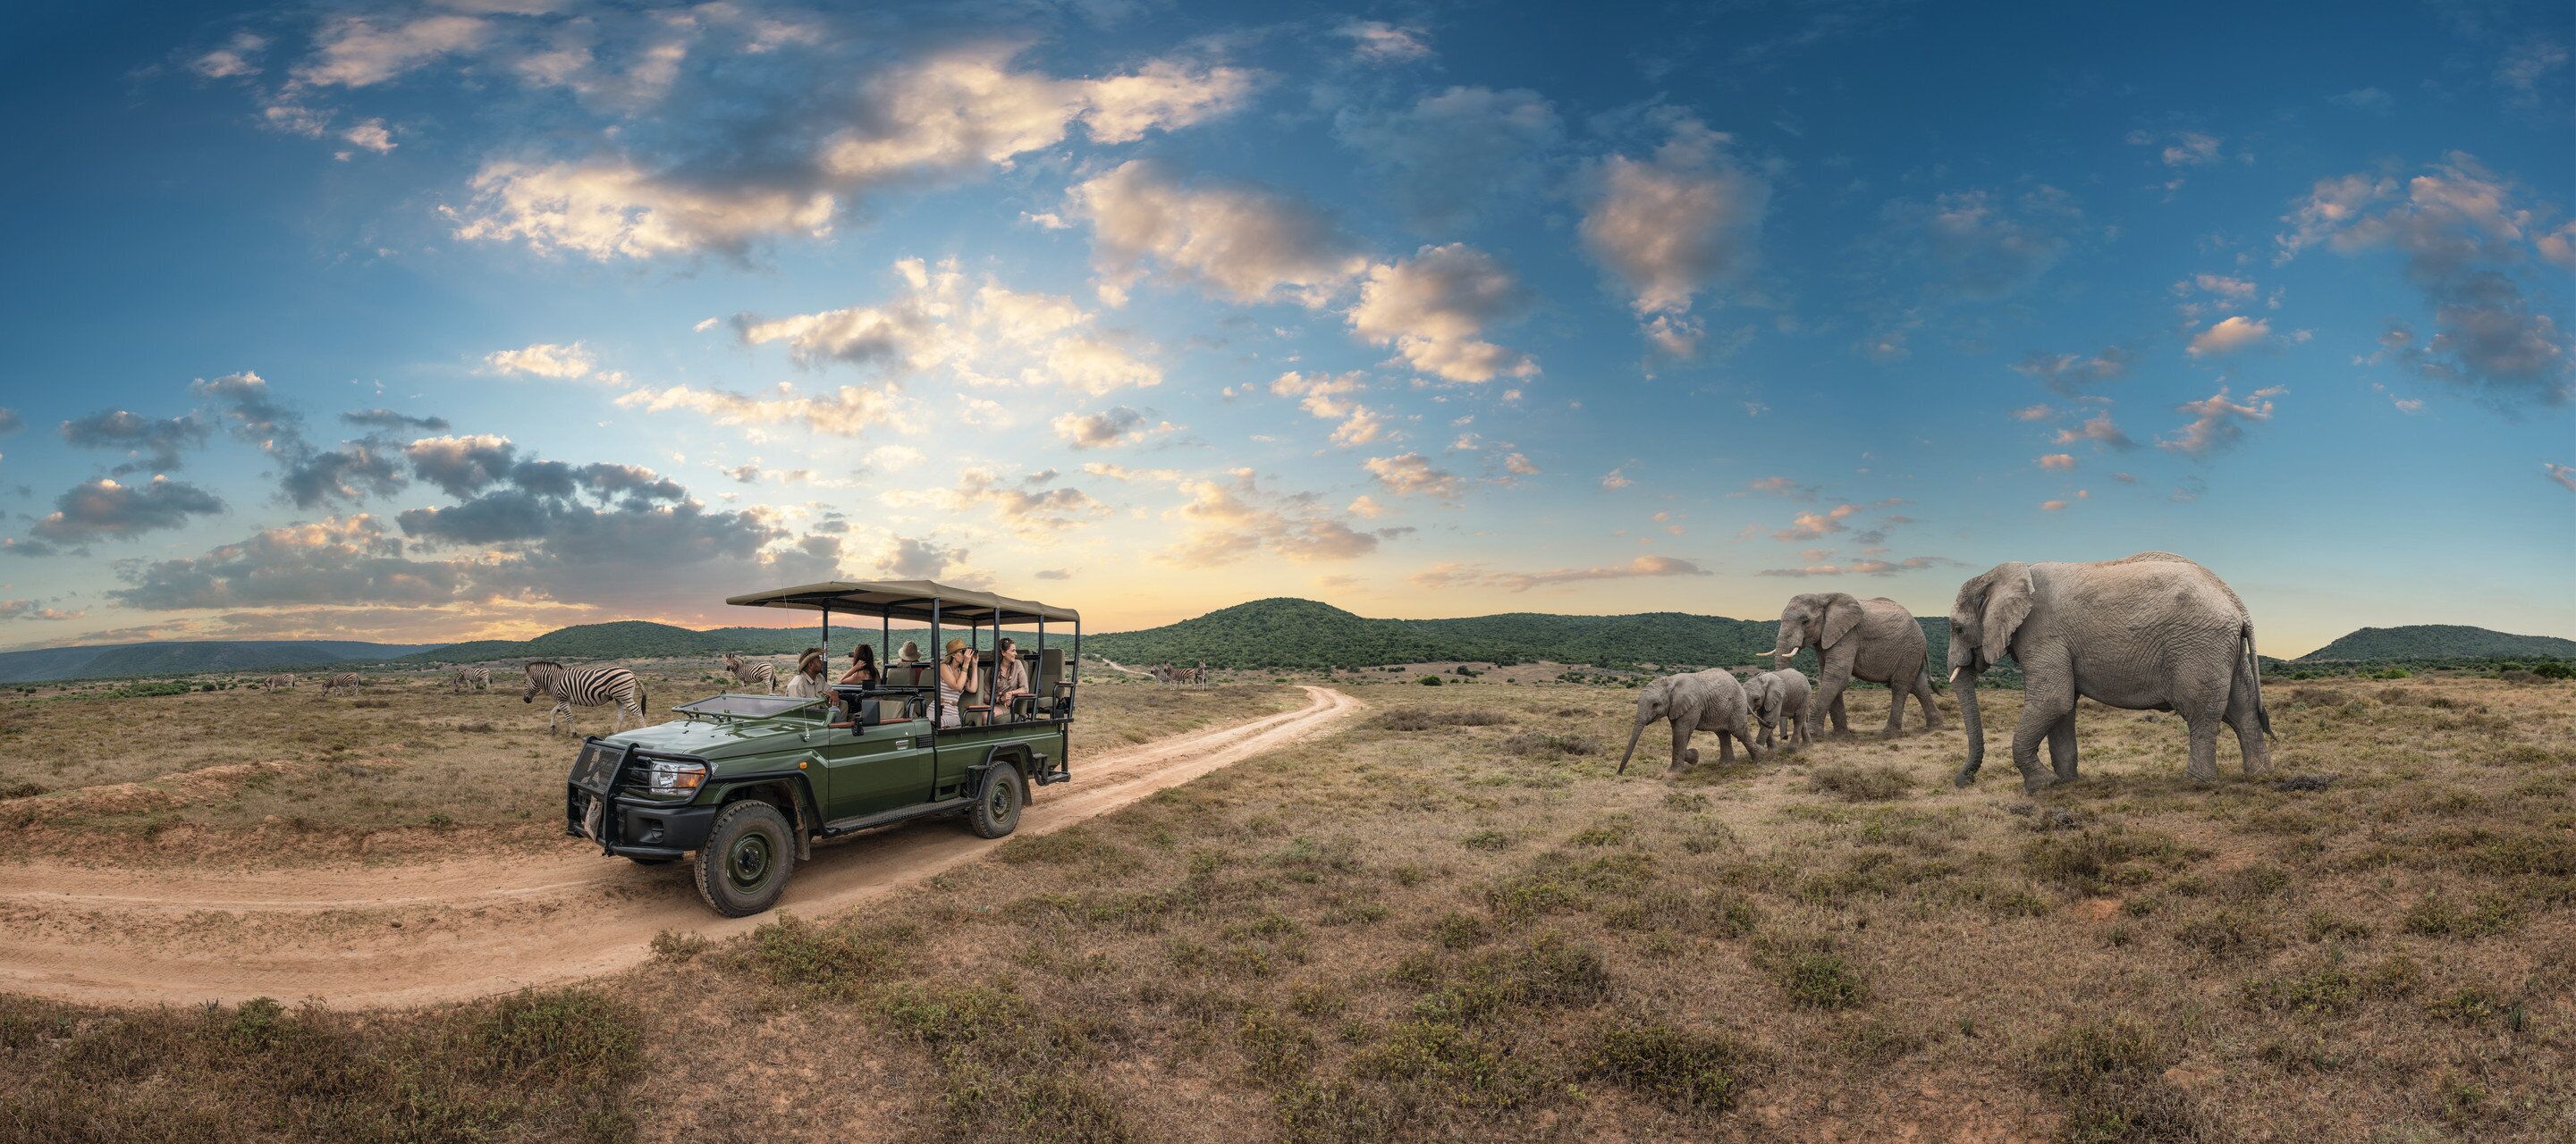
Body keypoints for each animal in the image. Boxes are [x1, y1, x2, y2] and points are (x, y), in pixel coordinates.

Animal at [1617, 670, 1764, 774]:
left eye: (1655, 704)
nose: (1619, 773)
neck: (1670, 681)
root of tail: (1738, 683)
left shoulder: (1692, 705)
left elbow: (1680, 733)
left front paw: (1673, 772)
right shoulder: (1676, 708)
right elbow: (1680, 734)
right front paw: (1694, 756)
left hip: (1737, 702)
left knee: (1738, 730)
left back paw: (1759, 758)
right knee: (1722, 733)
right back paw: (1726, 764)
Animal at [1766, 593, 1942, 737]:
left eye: (1805, 621)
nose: (1785, 737)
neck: (1822, 596)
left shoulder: (1849, 635)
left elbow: (1837, 676)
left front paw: (1813, 734)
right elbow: (1829, 677)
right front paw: (1841, 736)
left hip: (1910, 648)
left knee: (1900, 685)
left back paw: (1889, 734)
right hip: (1913, 652)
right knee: (1918, 685)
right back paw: (1935, 727)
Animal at [1948, 551, 2273, 792]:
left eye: (1957, 628)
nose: (1964, 781)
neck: (2002, 574)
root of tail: (2236, 602)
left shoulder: (2042, 635)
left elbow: (2053, 700)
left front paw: (2042, 785)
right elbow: (2063, 707)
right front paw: (2066, 783)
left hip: (2200, 646)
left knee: (2201, 712)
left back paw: (2196, 783)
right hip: (2226, 648)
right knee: (2242, 709)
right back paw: (2259, 776)